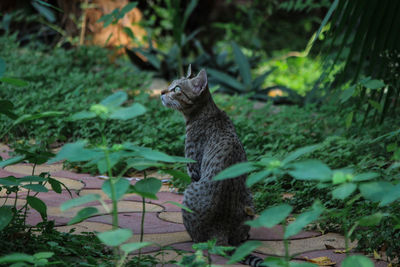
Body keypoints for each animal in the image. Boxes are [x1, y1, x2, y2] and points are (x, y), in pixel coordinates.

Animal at [161, 65, 264, 267]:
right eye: (170, 84)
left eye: (176, 89)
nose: (162, 92)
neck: (208, 112)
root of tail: (220, 230)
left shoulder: (194, 169)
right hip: (249, 197)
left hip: (189, 193)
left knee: (199, 240)